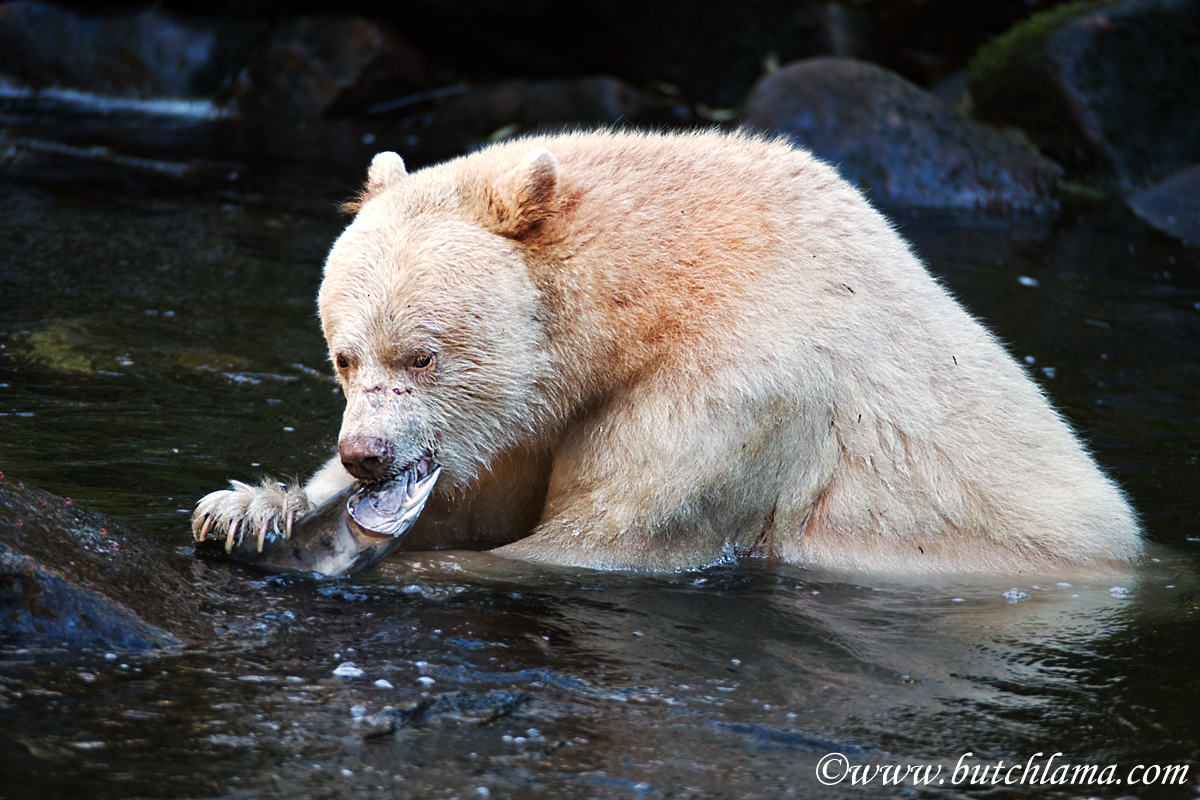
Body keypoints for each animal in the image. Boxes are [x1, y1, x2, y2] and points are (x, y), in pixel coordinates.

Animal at [192, 129, 1141, 573]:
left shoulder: (736, 390)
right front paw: (250, 506)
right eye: (344, 356)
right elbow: (486, 492)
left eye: (422, 355)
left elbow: (599, 536)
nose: (366, 455)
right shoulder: (534, 411)